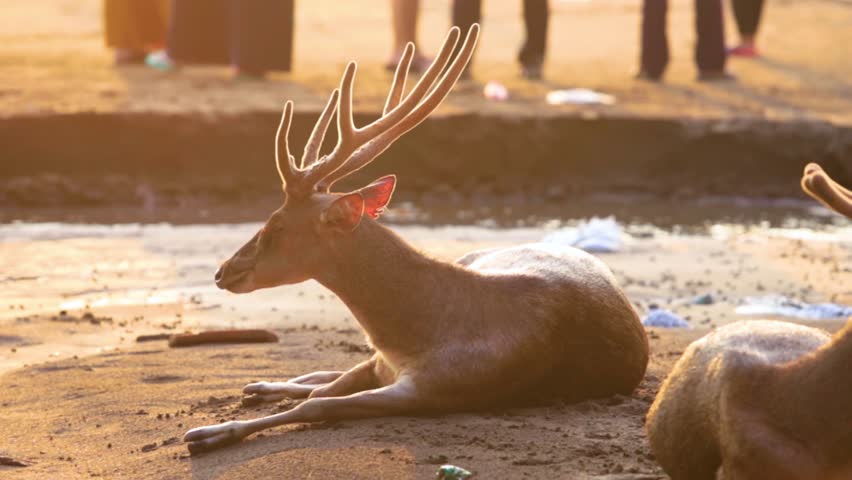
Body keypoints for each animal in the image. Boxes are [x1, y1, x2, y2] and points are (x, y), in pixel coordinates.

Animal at [182, 25, 649, 454]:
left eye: (276, 225)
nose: (223, 271)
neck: (414, 336)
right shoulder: (380, 364)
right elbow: (327, 384)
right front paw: (252, 399)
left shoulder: (439, 390)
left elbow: (320, 403)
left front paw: (208, 434)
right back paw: (260, 385)